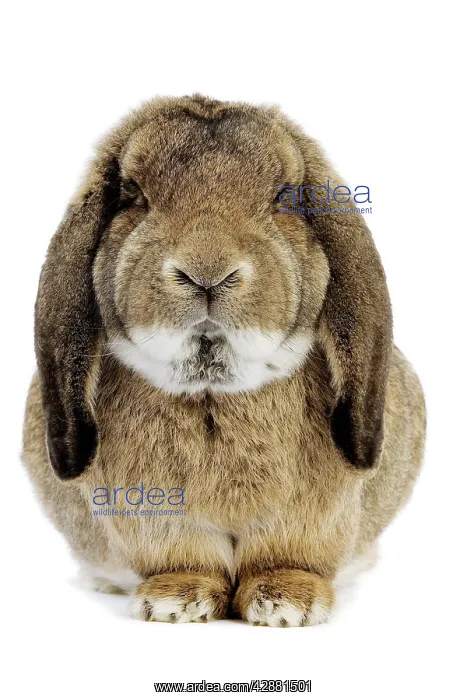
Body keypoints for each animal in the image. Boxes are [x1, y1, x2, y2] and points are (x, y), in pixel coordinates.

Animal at [22, 94, 426, 627]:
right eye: (133, 196)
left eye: (284, 197)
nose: (207, 271)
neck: (214, 391)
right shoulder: (155, 514)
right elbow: (184, 559)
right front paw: (175, 601)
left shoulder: (309, 518)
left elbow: (287, 557)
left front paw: (286, 604)